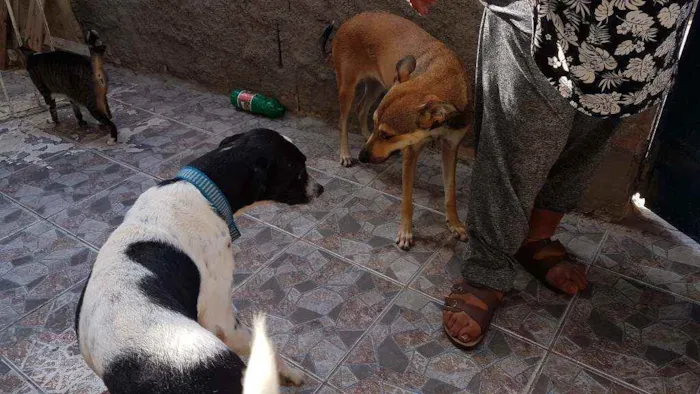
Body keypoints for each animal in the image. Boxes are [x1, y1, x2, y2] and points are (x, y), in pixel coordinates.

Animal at [326, 12, 474, 249]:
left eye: (388, 135)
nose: (363, 156)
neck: (443, 75)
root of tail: (351, 19)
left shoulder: (451, 147)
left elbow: (450, 192)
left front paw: (455, 224)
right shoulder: (411, 151)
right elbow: (406, 199)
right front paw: (405, 232)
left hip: (378, 85)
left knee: (361, 108)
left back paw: (365, 138)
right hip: (347, 86)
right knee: (344, 119)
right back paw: (346, 154)